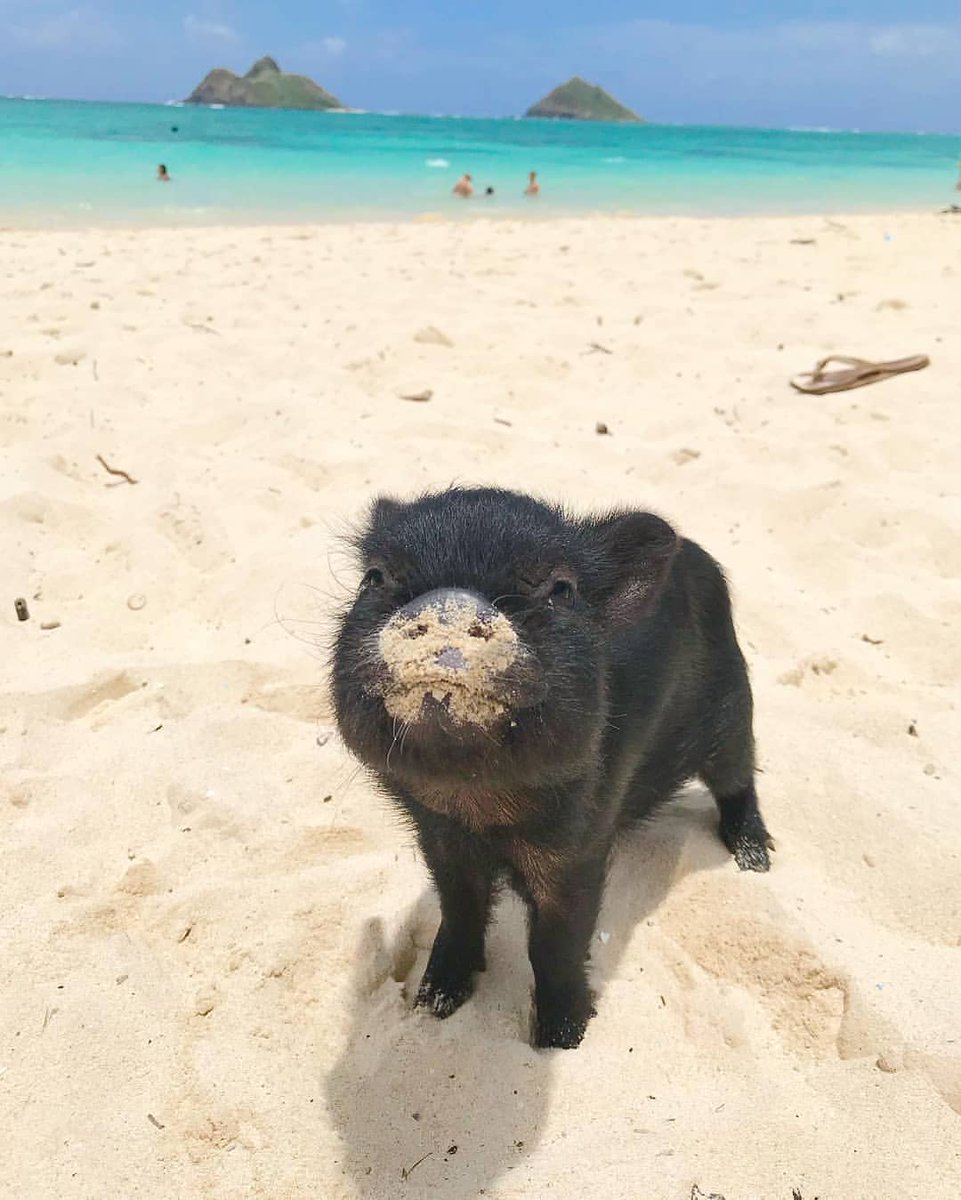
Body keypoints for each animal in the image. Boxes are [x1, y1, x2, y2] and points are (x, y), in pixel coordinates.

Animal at [331, 487, 772, 1049]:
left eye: (561, 588)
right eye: (375, 577)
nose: (449, 602)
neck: (478, 806)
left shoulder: (578, 847)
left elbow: (556, 942)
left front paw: (562, 1039)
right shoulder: (439, 837)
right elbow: (459, 908)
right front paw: (433, 1004)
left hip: (732, 706)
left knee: (740, 777)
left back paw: (755, 859)